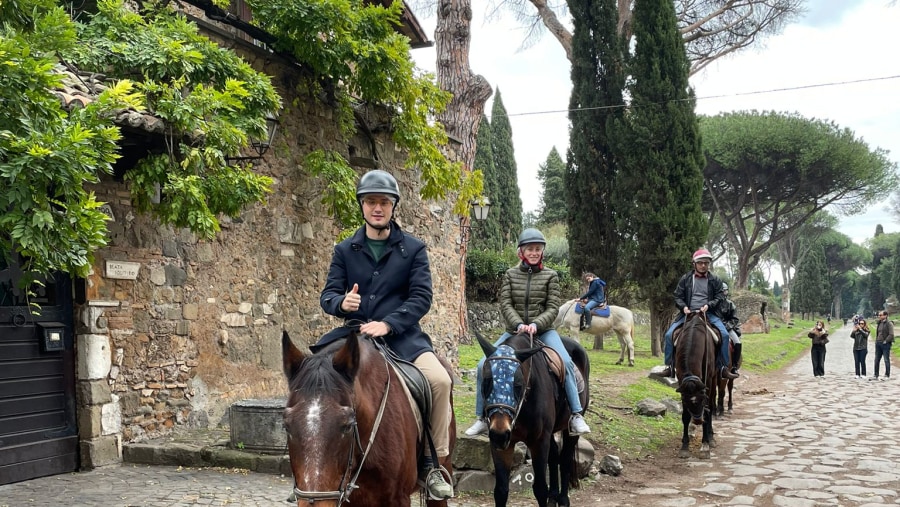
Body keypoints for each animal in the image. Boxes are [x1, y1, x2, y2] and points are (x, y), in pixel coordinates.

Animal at [474, 334, 588, 507]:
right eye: (486, 381)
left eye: (518, 384)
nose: (500, 434)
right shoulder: (502, 445)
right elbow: (501, 490)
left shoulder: (539, 441)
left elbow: (540, 488)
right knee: (554, 456)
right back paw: (553, 497)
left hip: (570, 431)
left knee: (565, 459)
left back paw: (563, 500)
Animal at [676, 314, 716, 460]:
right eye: (688, 402)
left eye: (702, 399)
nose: (698, 421)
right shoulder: (681, 383)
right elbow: (685, 416)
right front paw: (684, 446)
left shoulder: (708, 381)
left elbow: (708, 410)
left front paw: (705, 445)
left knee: (712, 406)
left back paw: (711, 437)